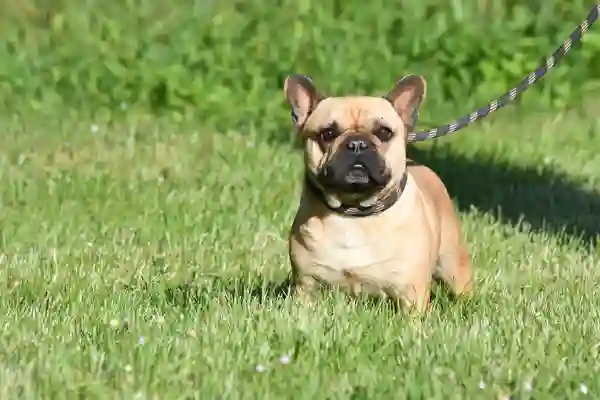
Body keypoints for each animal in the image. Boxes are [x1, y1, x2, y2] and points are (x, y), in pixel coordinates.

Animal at [284, 75, 474, 312]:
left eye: (384, 132)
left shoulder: (412, 293)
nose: (357, 144)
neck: (353, 212)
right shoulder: (307, 285)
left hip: (452, 263)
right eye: (327, 134)